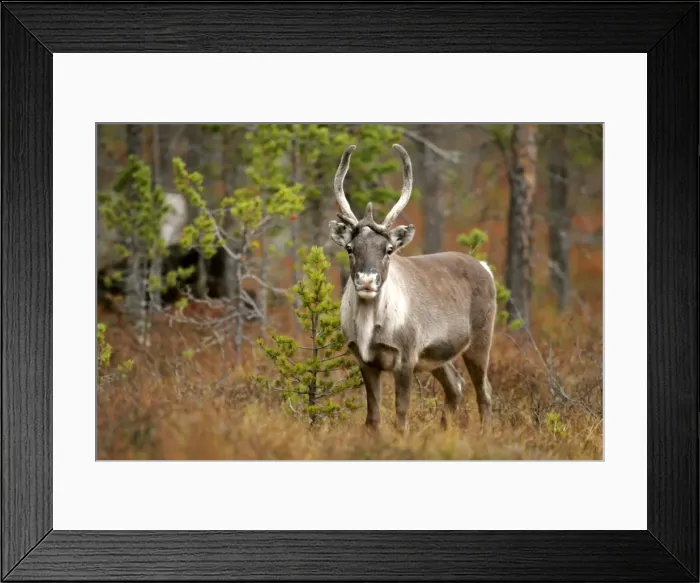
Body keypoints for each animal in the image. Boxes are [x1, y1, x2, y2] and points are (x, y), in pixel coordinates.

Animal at [327, 144, 498, 434]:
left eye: (388, 249)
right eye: (350, 248)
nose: (366, 281)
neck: (369, 327)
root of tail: (486, 267)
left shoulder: (405, 357)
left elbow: (401, 414)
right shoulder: (364, 360)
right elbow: (372, 417)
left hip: (480, 340)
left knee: (484, 391)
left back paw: (485, 434)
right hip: (437, 355)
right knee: (456, 385)